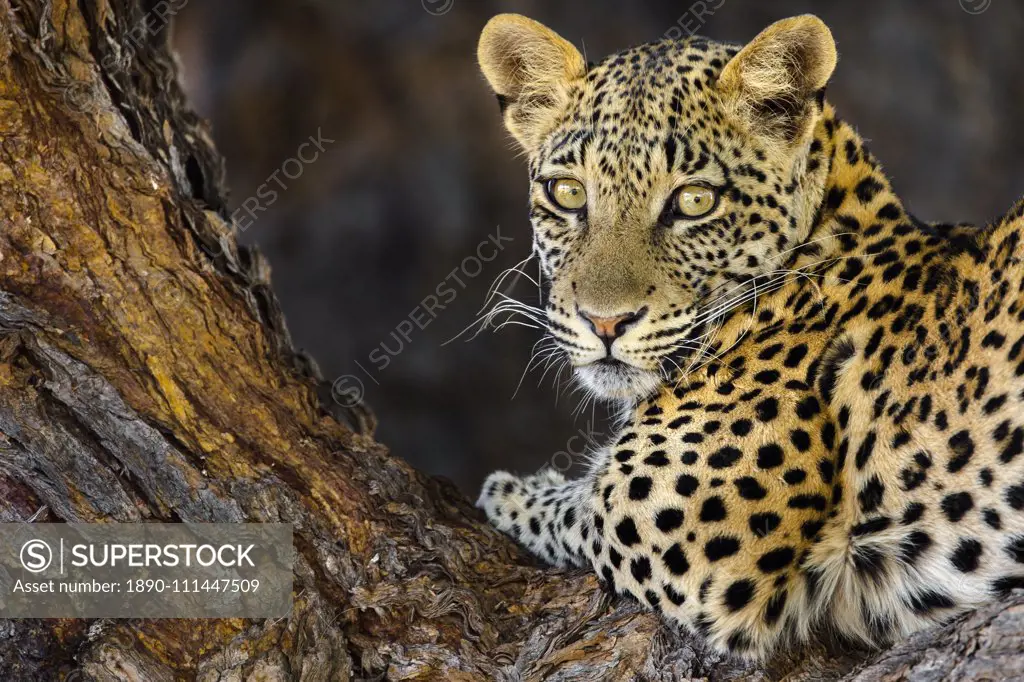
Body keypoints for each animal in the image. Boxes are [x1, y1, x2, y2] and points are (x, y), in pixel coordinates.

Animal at [473, 10, 1024, 659]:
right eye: (568, 193)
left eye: (694, 201)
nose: (605, 323)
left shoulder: (666, 529)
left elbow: (571, 508)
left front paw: (509, 488)